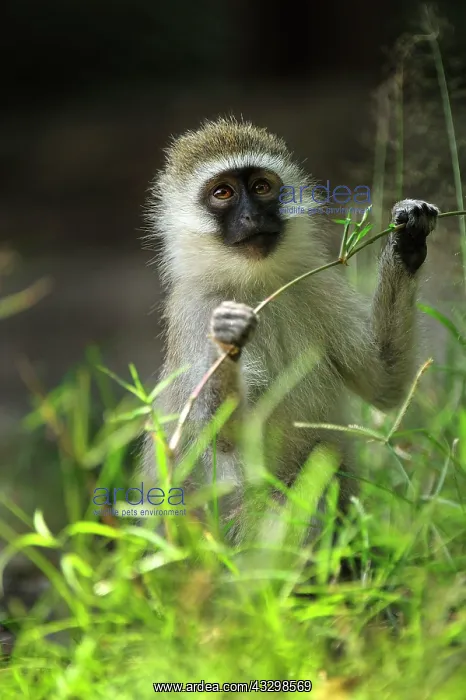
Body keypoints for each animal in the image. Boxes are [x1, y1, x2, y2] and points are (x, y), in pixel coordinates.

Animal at [141, 116, 439, 546]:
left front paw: (408, 239)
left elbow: (386, 384)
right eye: (223, 192)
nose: (253, 218)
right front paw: (226, 341)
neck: (256, 283)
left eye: (262, 187)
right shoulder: (198, 310)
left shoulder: (315, 282)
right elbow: (225, 437)